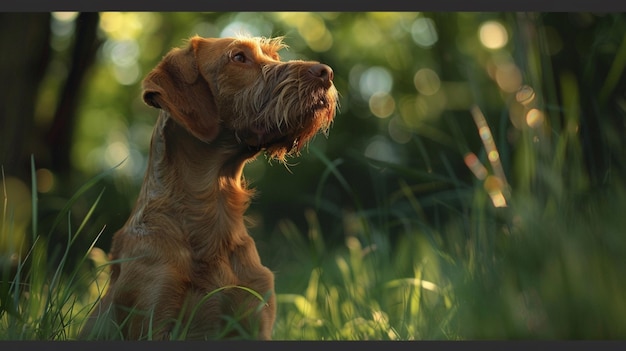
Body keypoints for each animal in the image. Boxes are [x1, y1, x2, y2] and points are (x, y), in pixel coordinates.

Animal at [80, 35, 338, 340]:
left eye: (274, 56)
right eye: (238, 57)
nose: (326, 73)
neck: (213, 213)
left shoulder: (254, 318)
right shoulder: (153, 315)